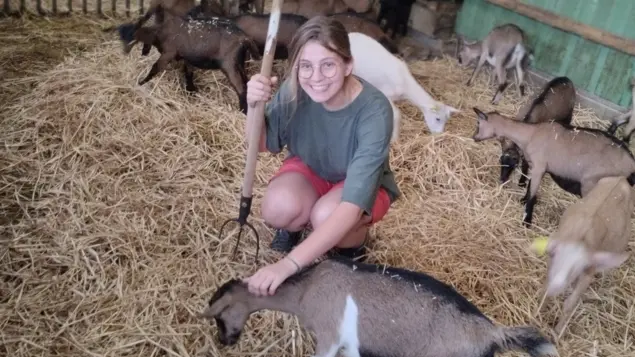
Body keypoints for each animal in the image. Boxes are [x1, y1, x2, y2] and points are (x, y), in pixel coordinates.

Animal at [472, 107, 635, 227]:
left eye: (478, 124)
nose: (474, 137)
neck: (530, 134)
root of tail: (631, 163)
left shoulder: (539, 166)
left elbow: (532, 194)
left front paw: (527, 222)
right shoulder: (538, 167)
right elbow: (530, 187)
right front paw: (523, 200)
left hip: (593, 185)